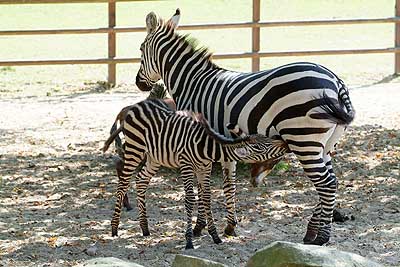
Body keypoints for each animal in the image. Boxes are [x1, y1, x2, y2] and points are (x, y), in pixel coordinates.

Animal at [106, 99, 288, 250]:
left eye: (266, 138)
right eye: (260, 147)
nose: (284, 142)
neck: (205, 147)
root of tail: (137, 105)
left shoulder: (205, 167)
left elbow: (206, 198)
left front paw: (215, 236)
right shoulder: (186, 165)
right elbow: (189, 200)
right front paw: (189, 240)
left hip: (154, 157)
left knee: (141, 180)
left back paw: (144, 227)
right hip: (135, 149)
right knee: (123, 181)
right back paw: (114, 228)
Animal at [135, 9, 354, 246]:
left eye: (140, 49)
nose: (139, 83)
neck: (191, 83)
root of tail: (336, 81)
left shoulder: (195, 144)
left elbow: (203, 187)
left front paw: (199, 227)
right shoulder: (222, 145)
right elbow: (228, 183)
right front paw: (230, 226)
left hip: (303, 140)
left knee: (326, 183)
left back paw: (321, 237)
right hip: (325, 144)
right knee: (332, 181)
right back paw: (312, 231)